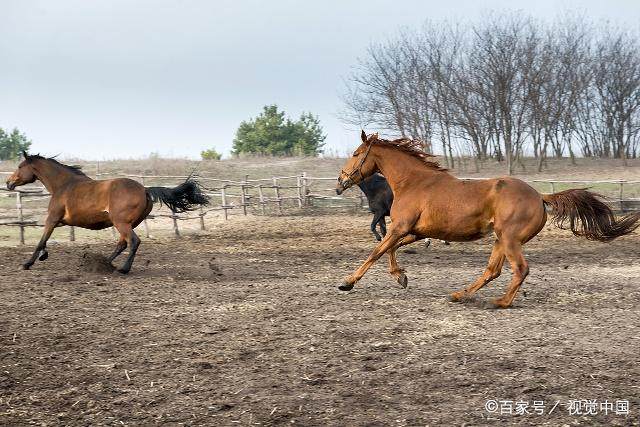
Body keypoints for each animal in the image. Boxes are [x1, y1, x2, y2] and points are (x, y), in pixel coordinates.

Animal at [5, 153, 210, 274]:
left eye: (20, 166)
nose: (8, 183)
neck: (63, 185)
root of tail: (145, 189)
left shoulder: (52, 219)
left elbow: (41, 240)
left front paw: (27, 263)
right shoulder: (59, 222)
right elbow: (44, 241)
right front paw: (42, 256)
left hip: (121, 223)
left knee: (133, 241)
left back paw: (122, 269)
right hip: (127, 223)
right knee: (122, 244)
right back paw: (104, 264)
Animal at [336, 132, 640, 310]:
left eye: (355, 154)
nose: (340, 182)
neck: (413, 182)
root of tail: (540, 196)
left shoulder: (400, 227)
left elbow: (377, 251)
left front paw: (347, 282)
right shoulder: (414, 231)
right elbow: (390, 249)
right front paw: (401, 277)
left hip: (509, 239)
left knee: (520, 269)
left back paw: (500, 301)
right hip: (499, 239)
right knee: (492, 271)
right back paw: (460, 295)